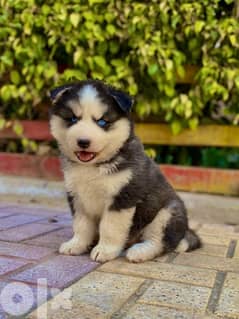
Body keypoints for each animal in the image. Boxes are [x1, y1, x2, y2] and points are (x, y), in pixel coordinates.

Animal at [49, 81, 201, 264]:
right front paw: (76, 244)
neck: (93, 167)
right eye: (72, 119)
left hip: (167, 213)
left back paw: (139, 251)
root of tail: (186, 230)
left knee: (160, 242)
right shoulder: (77, 197)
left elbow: (110, 227)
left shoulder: (123, 196)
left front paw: (104, 250)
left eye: (102, 122)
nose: (83, 142)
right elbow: (81, 225)